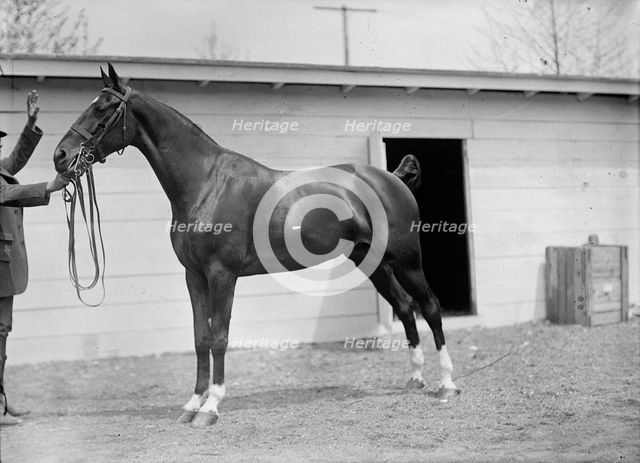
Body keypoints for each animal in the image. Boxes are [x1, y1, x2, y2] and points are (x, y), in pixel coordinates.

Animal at [53, 64, 458, 427]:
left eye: (102, 108)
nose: (60, 156)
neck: (206, 182)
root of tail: (391, 177)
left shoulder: (222, 275)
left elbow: (219, 337)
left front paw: (211, 407)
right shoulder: (194, 276)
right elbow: (200, 337)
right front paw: (192, 404)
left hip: (407, 260)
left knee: (430, 307)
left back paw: (447, 385)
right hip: (373, 262)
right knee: (405, 308)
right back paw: (415, 379)